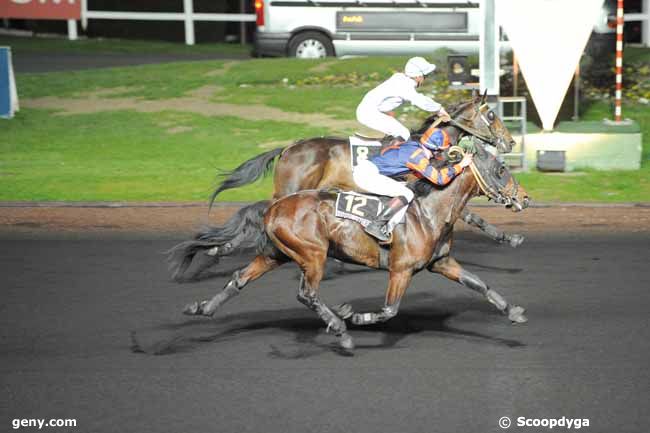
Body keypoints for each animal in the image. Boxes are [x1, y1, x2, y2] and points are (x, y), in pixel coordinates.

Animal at [170, 140, 528, 350]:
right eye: (501, 169)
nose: (525, 198)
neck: (428, 211)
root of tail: (274, 207)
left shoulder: (441, 262)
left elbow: (479, 284)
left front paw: (513, 311)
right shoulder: (400, 269)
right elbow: (389, 309)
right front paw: (352, 316)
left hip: (275, 254)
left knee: (238, 280)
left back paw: (202, 307)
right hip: (312, 254)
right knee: (307, 294)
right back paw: (340, 328)